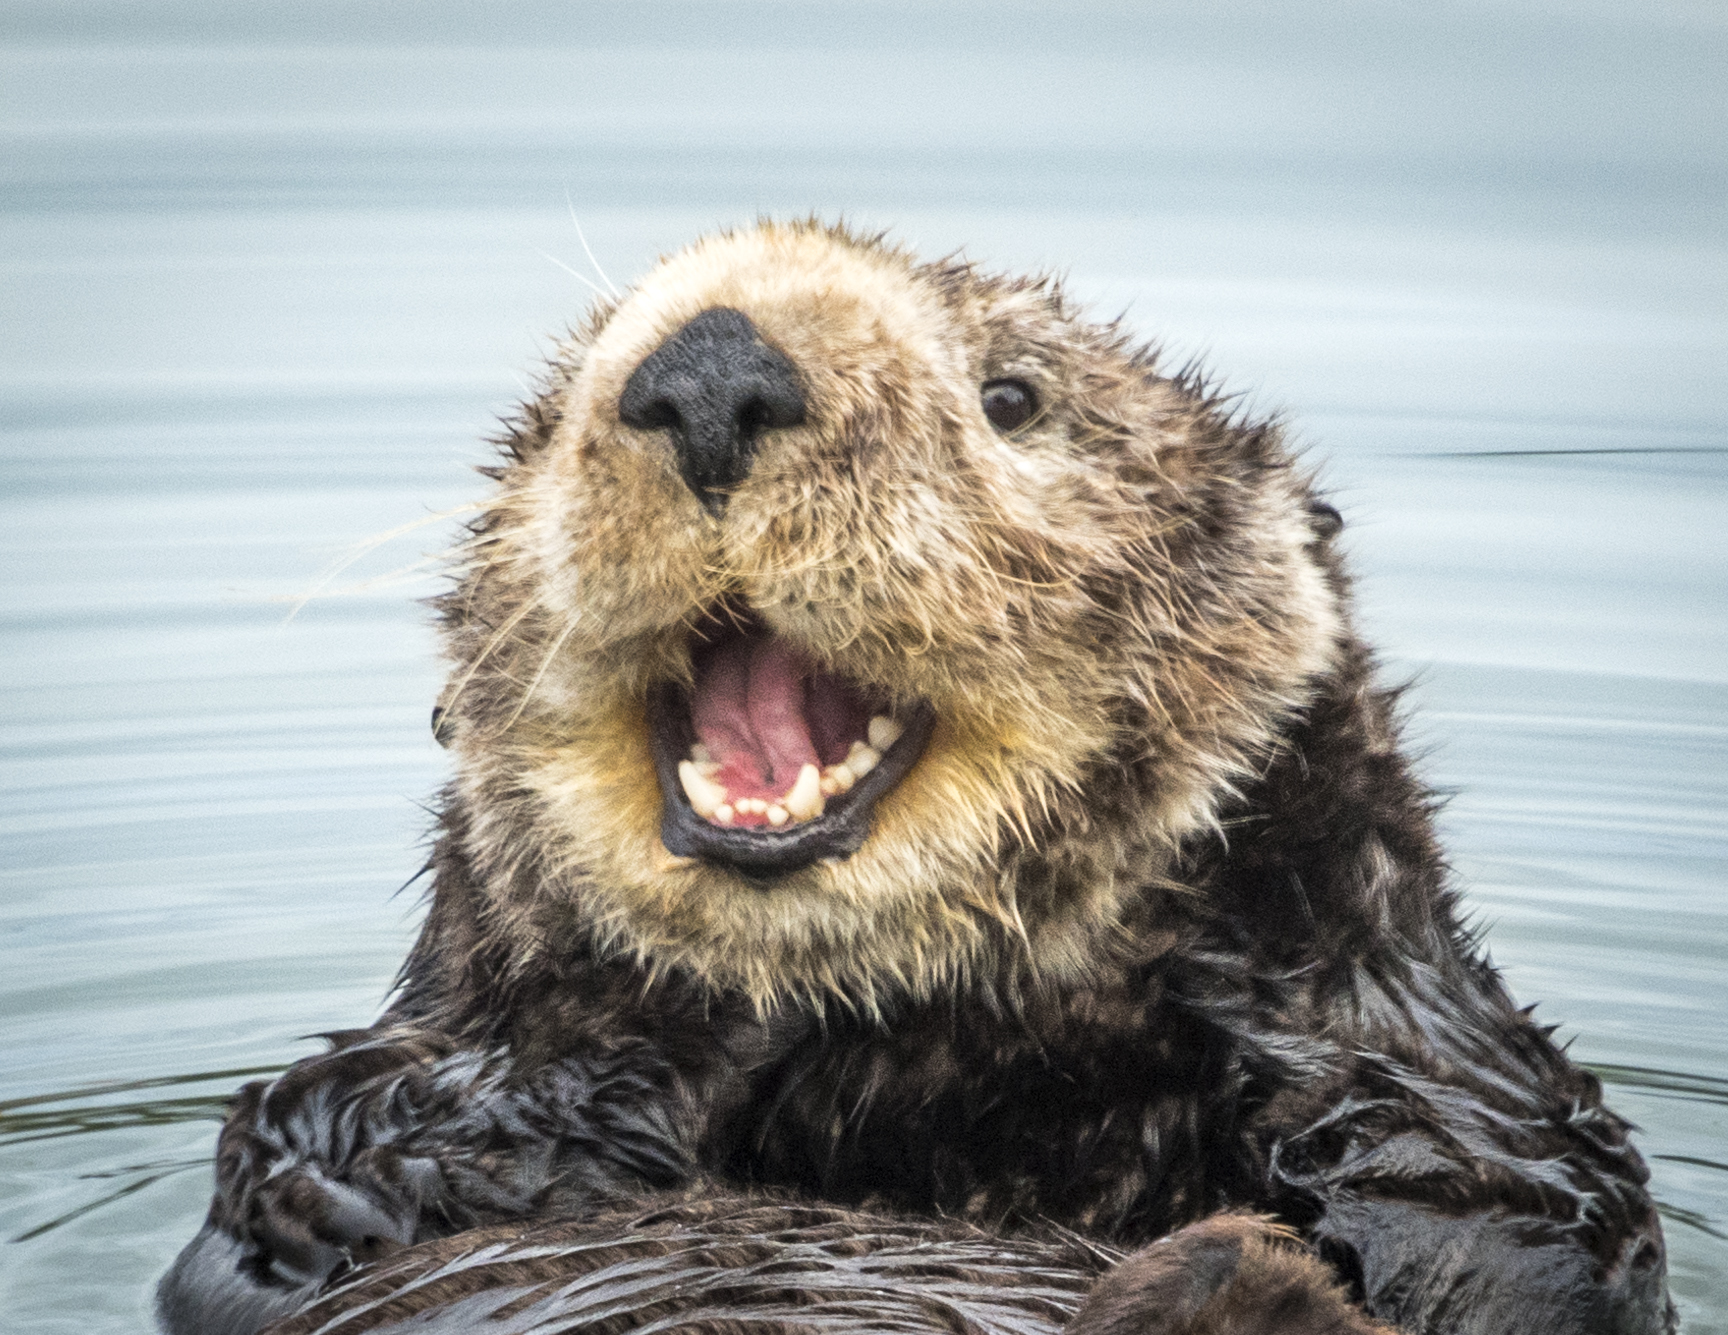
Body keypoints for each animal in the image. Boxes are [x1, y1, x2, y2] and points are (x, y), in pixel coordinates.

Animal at [158, 226, 1672, 1333]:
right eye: (572, 383)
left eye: (1012, 396)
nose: (710, 365)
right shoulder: (332, 1159)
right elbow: (344, 1145)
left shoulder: (1465, 1095)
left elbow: (1493, 1200)